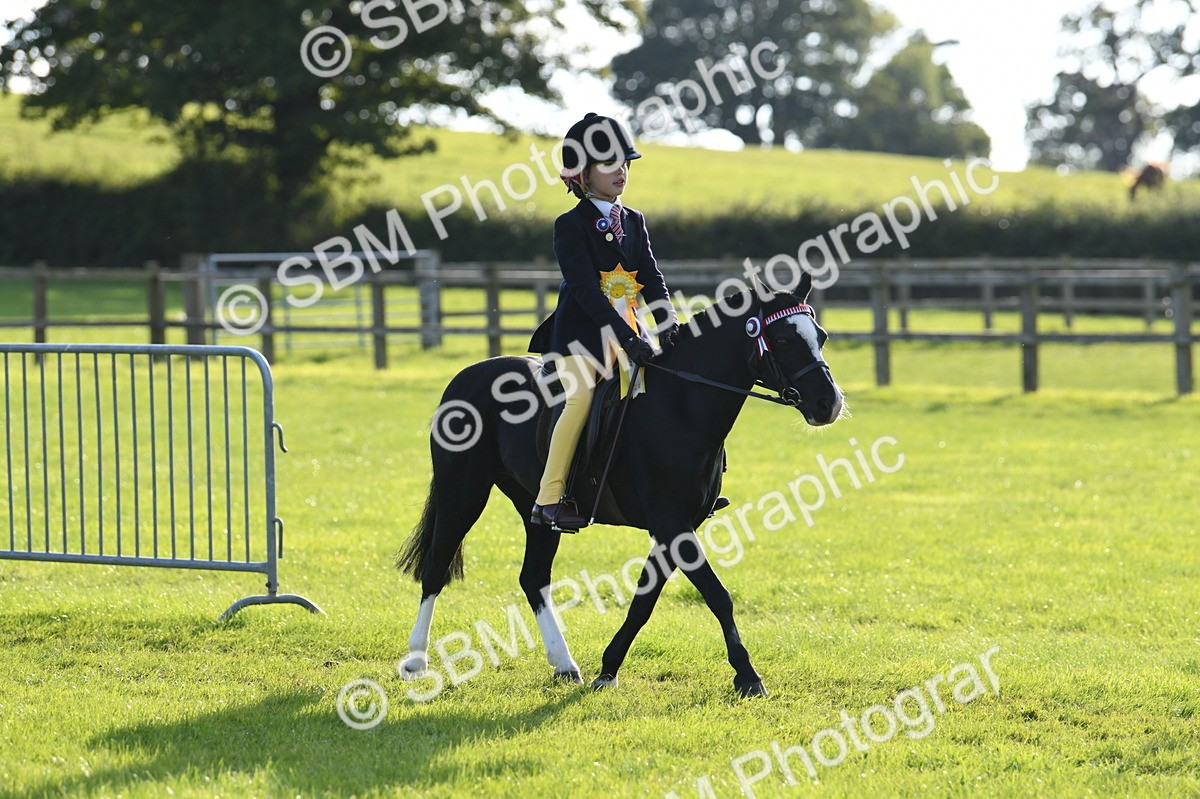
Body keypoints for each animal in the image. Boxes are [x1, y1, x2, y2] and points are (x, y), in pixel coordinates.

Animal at [396, 272, 844, 697]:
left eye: (820, 336)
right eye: (783, 339)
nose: (830, 404)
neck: (681, 404)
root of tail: (467, 376)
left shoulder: (675, 528)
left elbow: (643, 602)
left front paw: (608, 669)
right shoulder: (671, 525)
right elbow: (717, 595)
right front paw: (748, 676)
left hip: (537, 510)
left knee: (533, 577)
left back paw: (565, 665)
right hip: (461, 493)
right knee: (436, 568)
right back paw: (416, 661)